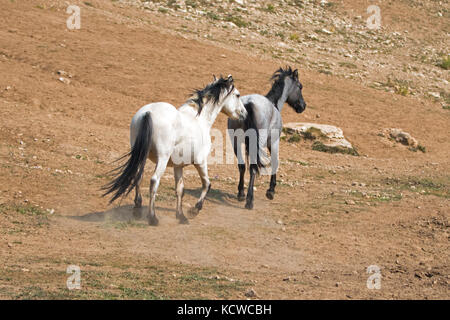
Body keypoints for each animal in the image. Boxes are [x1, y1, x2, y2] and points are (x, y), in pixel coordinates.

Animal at [103, 75, 246, 225]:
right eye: (237, 95)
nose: (244, 113)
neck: (200, 119)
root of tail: (148, 112)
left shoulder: (178, 166)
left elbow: (180, 189)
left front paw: (181, 216)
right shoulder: (200, 162)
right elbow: (207, 184)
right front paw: (194, 211)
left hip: (141, 156)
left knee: (138, 177)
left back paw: (137, 209)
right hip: (162, 158)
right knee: (154, 181)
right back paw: (153, 218)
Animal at [229, 66, 306, 209]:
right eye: (300, 86)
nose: (303, 106)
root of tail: (248, 104)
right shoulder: (274, 143)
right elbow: (275, 162)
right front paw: (271, 191)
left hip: (236, 142)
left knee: (242, 166)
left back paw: (241, 194)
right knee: (253, 168)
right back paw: (249, 200)